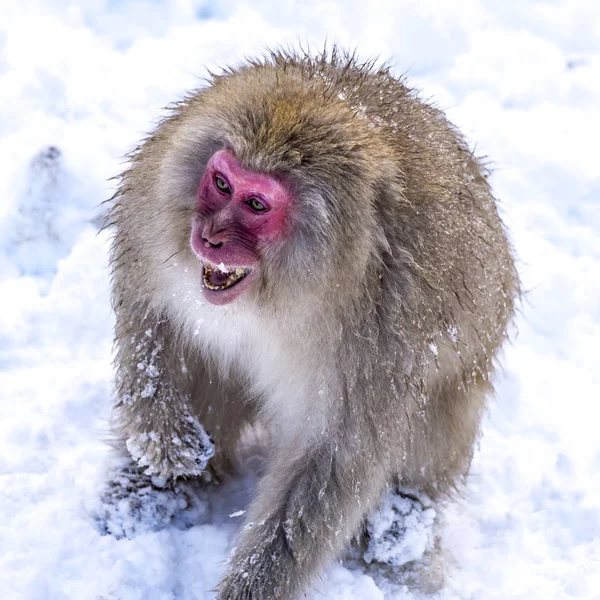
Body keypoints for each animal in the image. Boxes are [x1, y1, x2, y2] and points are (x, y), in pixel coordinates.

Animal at [108, 49, 520, 596]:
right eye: (222, 184)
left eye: (255, 204)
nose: (210, 236)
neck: (281, 294)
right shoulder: (150, 207)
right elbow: (145, 313)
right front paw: (163, 436)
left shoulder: (385, 333)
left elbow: (330, 463)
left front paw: (249, 588)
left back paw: (400, 530)